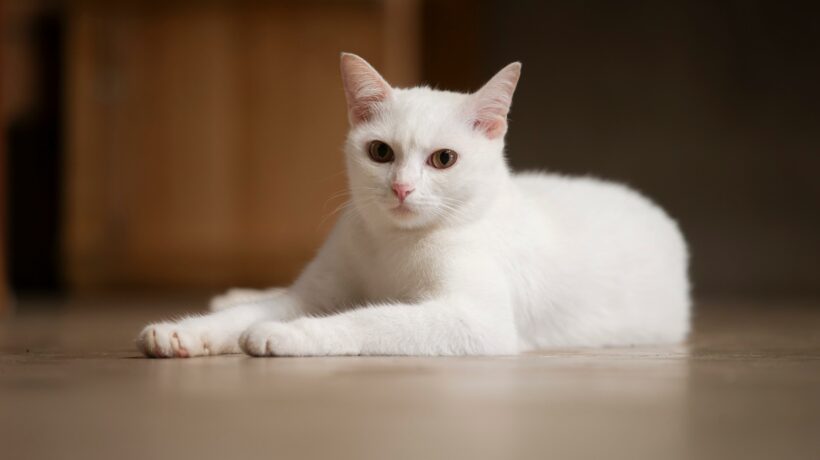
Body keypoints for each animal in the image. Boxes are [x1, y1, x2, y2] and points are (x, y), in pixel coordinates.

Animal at [138, 53, 688, 356]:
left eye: (444, 159)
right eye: (381, 152)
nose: (402, 188)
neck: (393, 244)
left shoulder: (475, 321)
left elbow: (371, 319)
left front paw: (285, 335)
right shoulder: (314, 292)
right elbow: (258, 310)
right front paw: (184, 333)